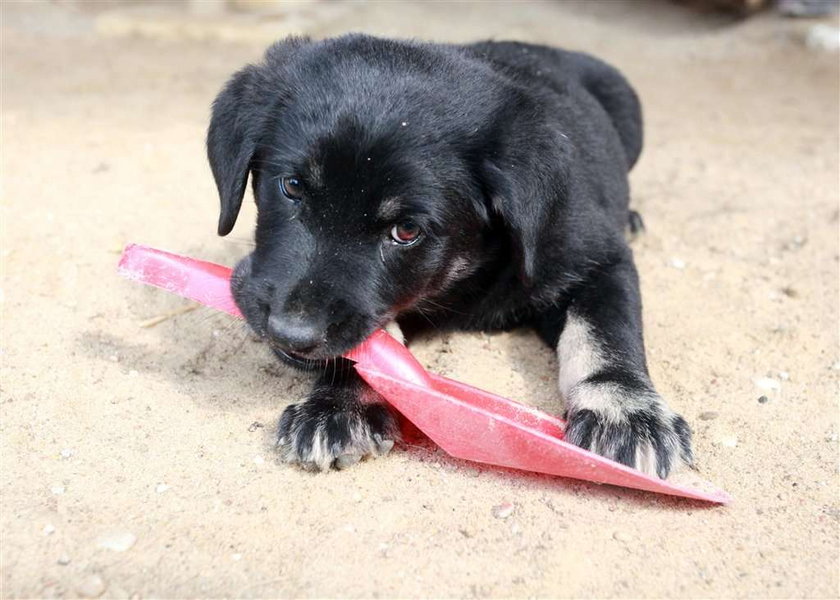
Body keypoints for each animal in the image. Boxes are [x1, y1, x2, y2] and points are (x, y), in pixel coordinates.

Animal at [207, 36, 692, 478]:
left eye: (406, 231)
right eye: (291, 186)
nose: (289, 333)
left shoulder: (598, 258)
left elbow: (604, 330)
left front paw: (624, 409)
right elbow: (377, 349)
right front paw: (340, 403)